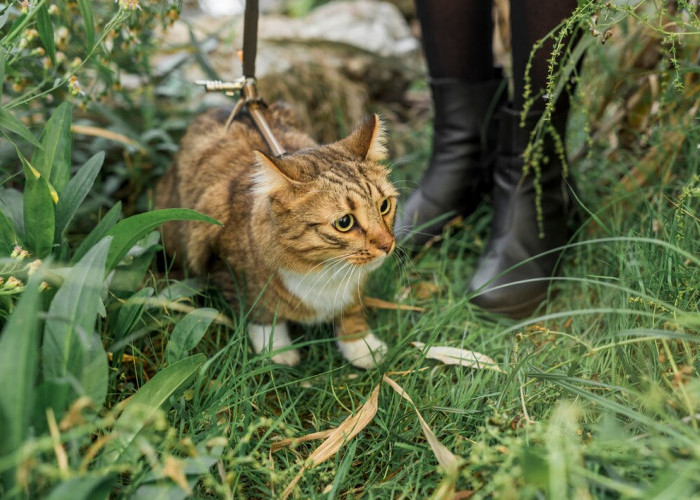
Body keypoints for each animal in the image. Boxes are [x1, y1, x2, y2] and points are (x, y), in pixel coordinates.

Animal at [159, 104, 400, 368]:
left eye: (384, 206)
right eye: (344, 222)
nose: (387, 244)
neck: (324, 270)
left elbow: (351, 310)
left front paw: (361, 345)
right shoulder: (229, 267)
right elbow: (260, 311)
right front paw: (276, 349)